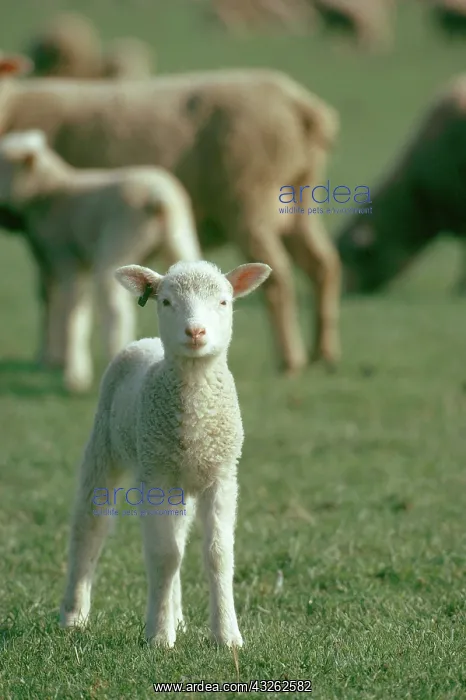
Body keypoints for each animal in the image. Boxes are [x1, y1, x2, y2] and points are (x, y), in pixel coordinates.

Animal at [0, 129, 201, 393]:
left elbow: (72, 312)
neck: (51, 192)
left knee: (114, 308)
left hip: (118, 241)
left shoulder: (66, 258)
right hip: (180, 237)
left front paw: (73, 373)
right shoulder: (53, 261)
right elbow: (53, 303)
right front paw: (52, 360)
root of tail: (159, 199)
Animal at [60, 259, 271, 646]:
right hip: (107, 449)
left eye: (224, 302)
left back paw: (179, 617)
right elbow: (164, 556)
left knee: (179, 536)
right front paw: (158, 636)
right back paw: (73, 614)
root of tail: (144, 343)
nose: (196, 331)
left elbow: (218, 555)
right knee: (90, 525)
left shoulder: (222, 475)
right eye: (167, 302)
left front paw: (227, 636)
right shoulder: (155, 476)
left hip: (178, 481)